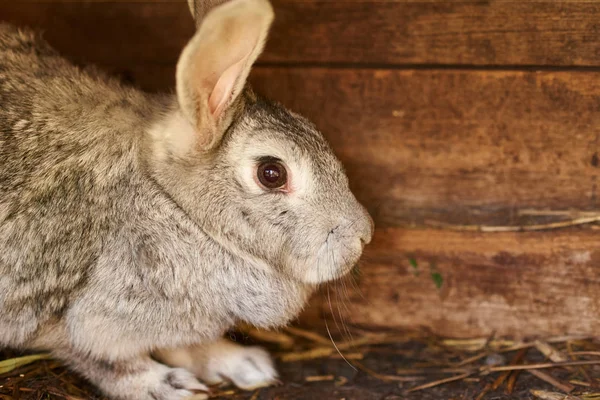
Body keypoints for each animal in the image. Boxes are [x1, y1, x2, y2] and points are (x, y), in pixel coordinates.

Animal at [0, 0, 372, 398]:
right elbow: (100, 358)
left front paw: (243, 364)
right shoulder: (54, 308)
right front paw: (166, 386)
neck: (171, 202)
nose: (364, 234)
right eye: (272, 173)